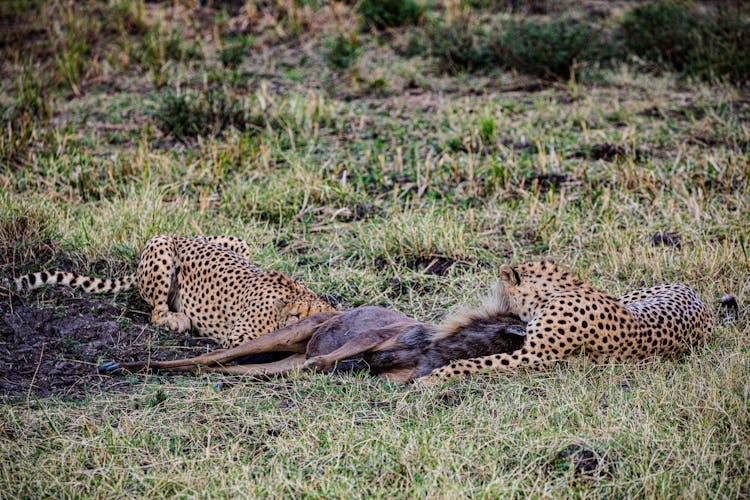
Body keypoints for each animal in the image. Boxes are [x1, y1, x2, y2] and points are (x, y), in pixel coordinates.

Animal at [10, 235, 334, 348]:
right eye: (296, 317)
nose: (305, 328)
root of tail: (184, 235)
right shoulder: (238, 337)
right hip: (161, 245)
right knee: (155, 312)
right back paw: (176, 319)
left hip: (239, 242)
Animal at [420, 258, 712, 382]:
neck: (554, 293)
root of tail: (698, 296)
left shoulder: (534, 355)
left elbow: (477, 362)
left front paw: (435, 377)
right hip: (631, 296)